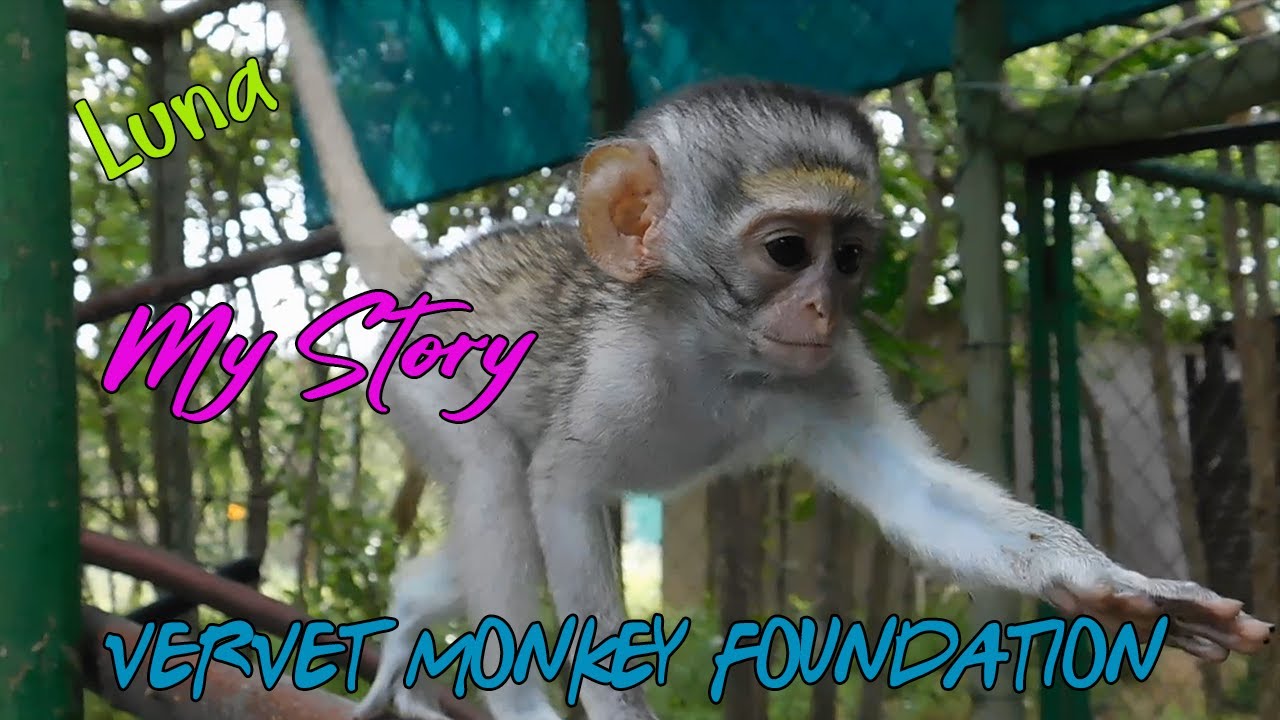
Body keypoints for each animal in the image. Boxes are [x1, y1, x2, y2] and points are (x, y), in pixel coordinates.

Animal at [271, 3, 1274, 719]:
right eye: (790, 251)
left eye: (852, 257)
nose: (823, 306)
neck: (718, 352)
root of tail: (434, 275)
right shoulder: (622, 369)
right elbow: (559, 489)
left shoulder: (832, 372)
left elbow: (917, 495)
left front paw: (1119, 589)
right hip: (419, 385)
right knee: (495, 483)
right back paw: (509, 700)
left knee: (465, 540)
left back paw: (407, 628)